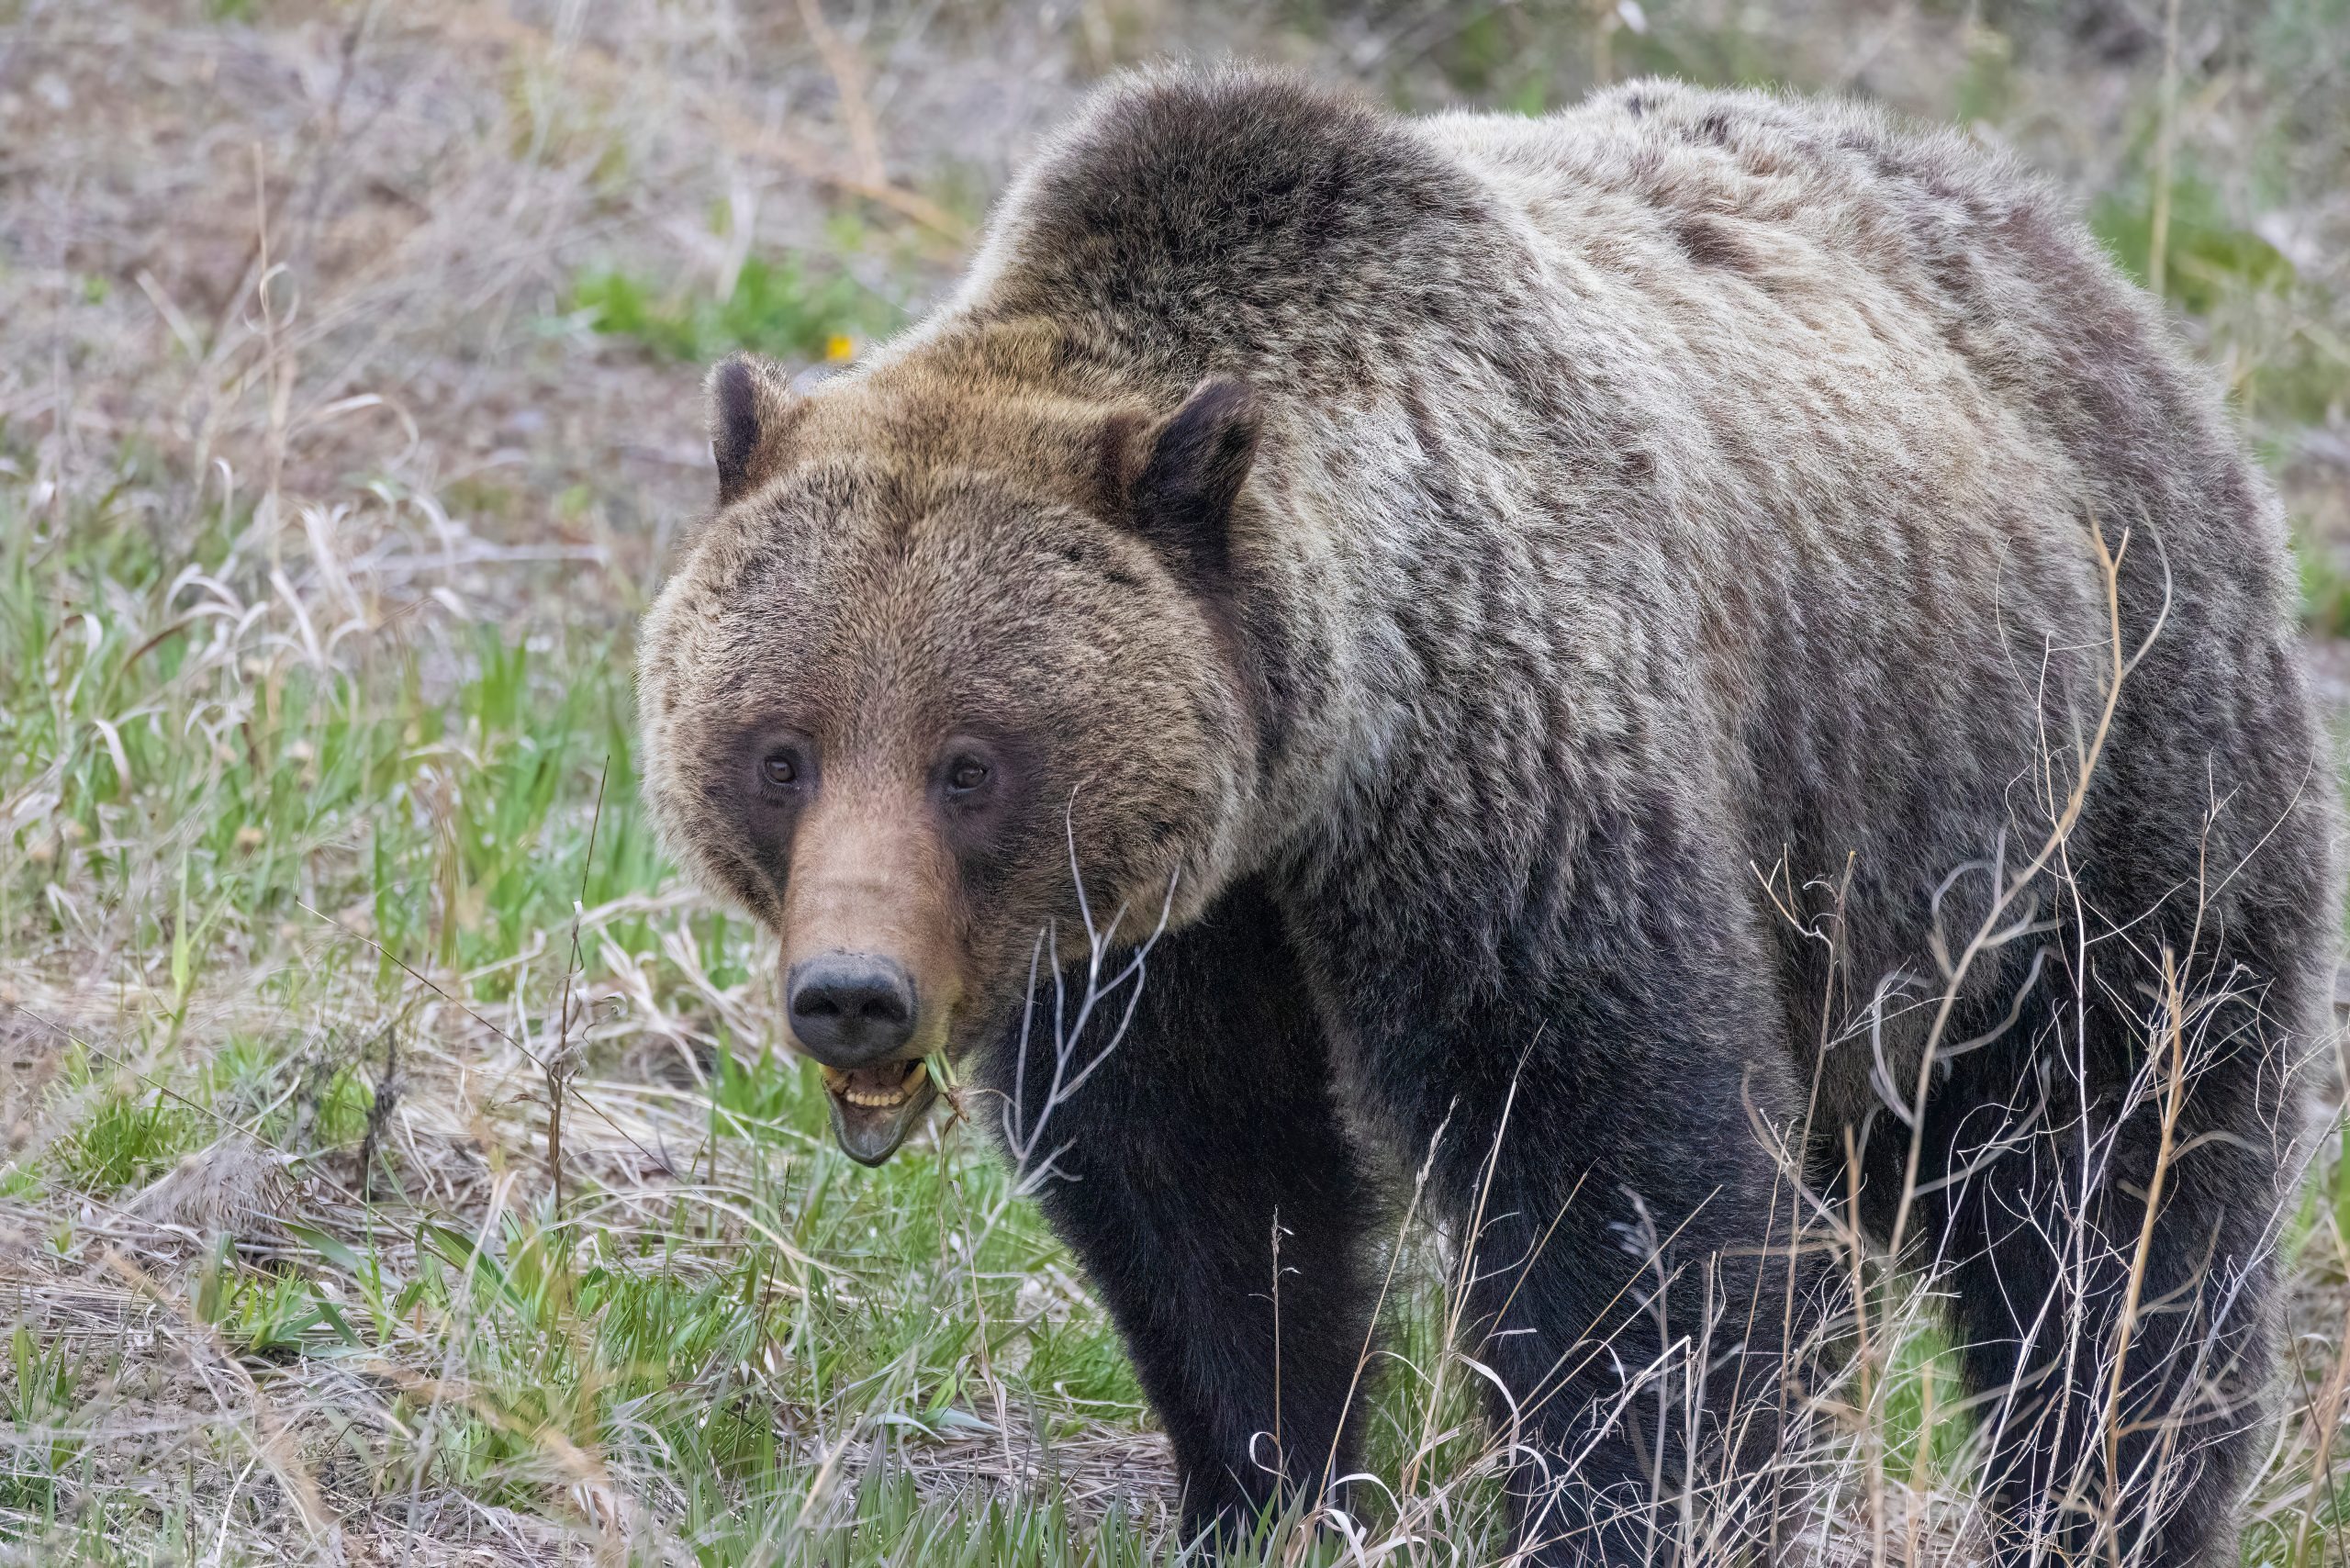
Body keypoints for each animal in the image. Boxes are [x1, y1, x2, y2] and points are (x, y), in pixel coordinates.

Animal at [636, 67, 2337, 1568]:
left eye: (969, 760)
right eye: (780, 751)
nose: (853, 992)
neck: (1317, 768)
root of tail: (2063, 252)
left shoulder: (1517, 788)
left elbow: (1623, 1195)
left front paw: (1625, 1510)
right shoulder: (1163, 935)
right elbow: (1205, 1192)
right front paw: (1266, 1487)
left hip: (2084, 779)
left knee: (2119, 1195)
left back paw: (2107, 1498)